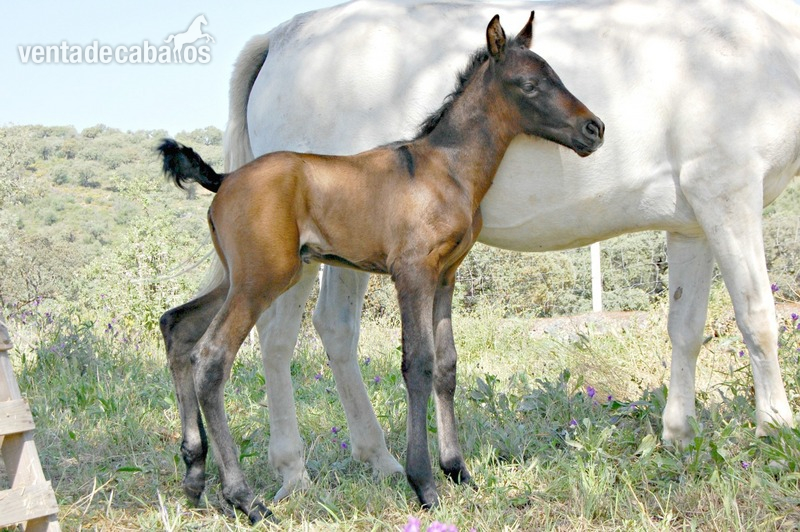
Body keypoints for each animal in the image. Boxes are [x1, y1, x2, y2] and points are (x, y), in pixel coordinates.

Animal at [158, 14, 603, 522]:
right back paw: (244, 498)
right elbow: (418, 364)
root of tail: (224, 179)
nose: (594, 129)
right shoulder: (412, 271)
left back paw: (194, 477)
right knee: (212, 356)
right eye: (529, 85)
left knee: (176, 326)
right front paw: (424, 483)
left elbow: (447, 365)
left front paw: (459, 471)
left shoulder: (446, 275)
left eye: (556, 74)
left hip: (241, 276)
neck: (445, 168)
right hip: (261, 279)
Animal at [217, 0, 800, 503]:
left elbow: (686, 328)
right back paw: (294, 473)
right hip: (293, 261)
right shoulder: (726, 192)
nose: (595, 128)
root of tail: (280, 37)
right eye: (532, 83)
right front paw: (775, 430)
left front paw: (679, 436)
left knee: (334, 329)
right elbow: (757, 317)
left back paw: (378, 459)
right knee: (275, 339)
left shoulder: (692, 224)